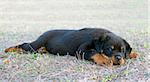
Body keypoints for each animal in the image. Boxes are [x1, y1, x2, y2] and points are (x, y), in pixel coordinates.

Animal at [4, 28, 138, 66]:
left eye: (122, 50)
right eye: (109, 49)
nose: (119, 58)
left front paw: (132, 53)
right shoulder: (81, 50)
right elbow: (94, 53)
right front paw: (104, 60)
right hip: (35, 46)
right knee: (24, 45)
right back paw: (9, 49)